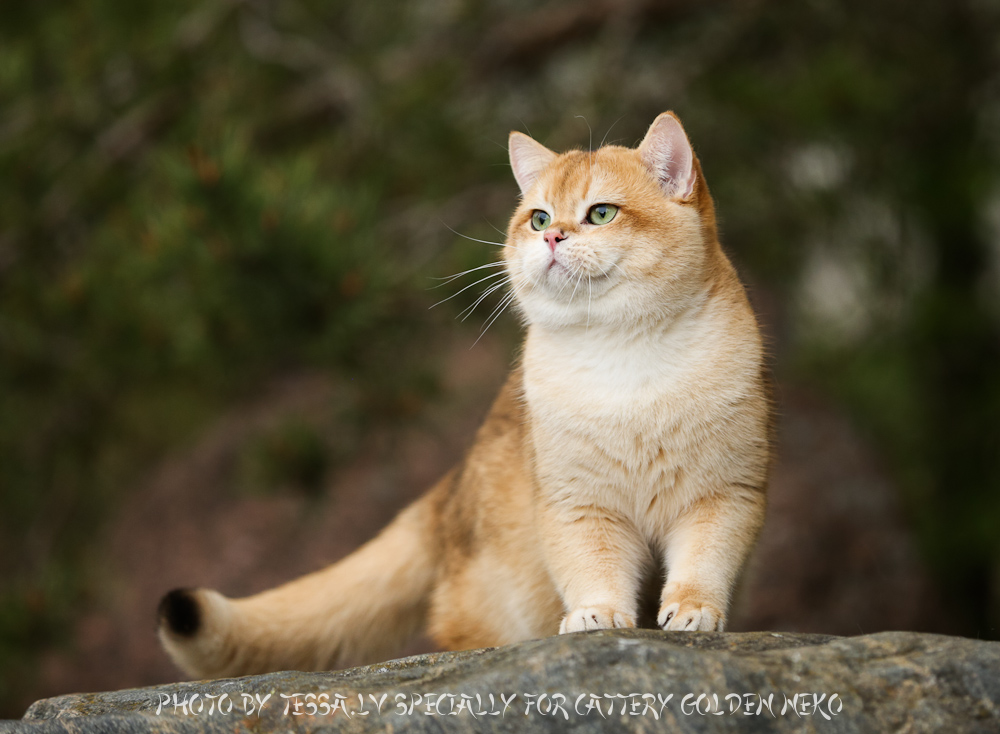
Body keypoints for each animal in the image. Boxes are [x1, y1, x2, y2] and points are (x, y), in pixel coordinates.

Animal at [156, 109, 768, 680]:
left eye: (601, 213)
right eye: (538, 217)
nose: (552, 237)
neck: (623, 360)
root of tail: (448, 492)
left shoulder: (727, 494)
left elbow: (703, 564)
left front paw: (693, 612)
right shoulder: (574, 506)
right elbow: (593, 569)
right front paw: (597, 615)